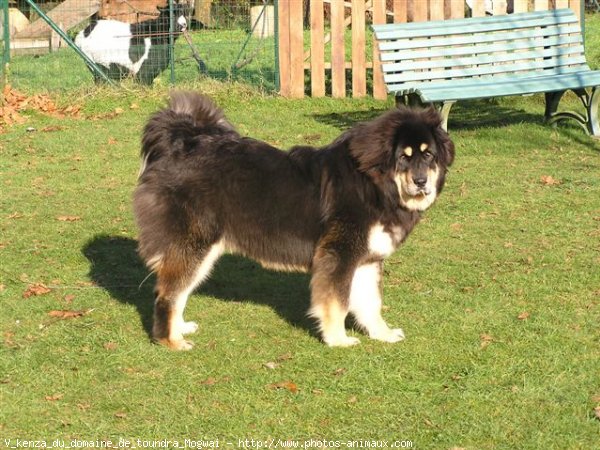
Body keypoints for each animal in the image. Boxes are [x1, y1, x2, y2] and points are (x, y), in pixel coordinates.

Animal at [135, 92, 454, 352]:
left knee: (177, 290)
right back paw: (171, 340)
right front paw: (338, 339)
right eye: (403, 157)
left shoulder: (366, 258)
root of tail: (180, 143)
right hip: (194, 243)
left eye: (428, 154)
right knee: (168, 294)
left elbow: (370, 302)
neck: (374, 184)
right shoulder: (339, 255)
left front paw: (381, 334)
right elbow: (337, 302)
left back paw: (180, 328)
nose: (421, 182)